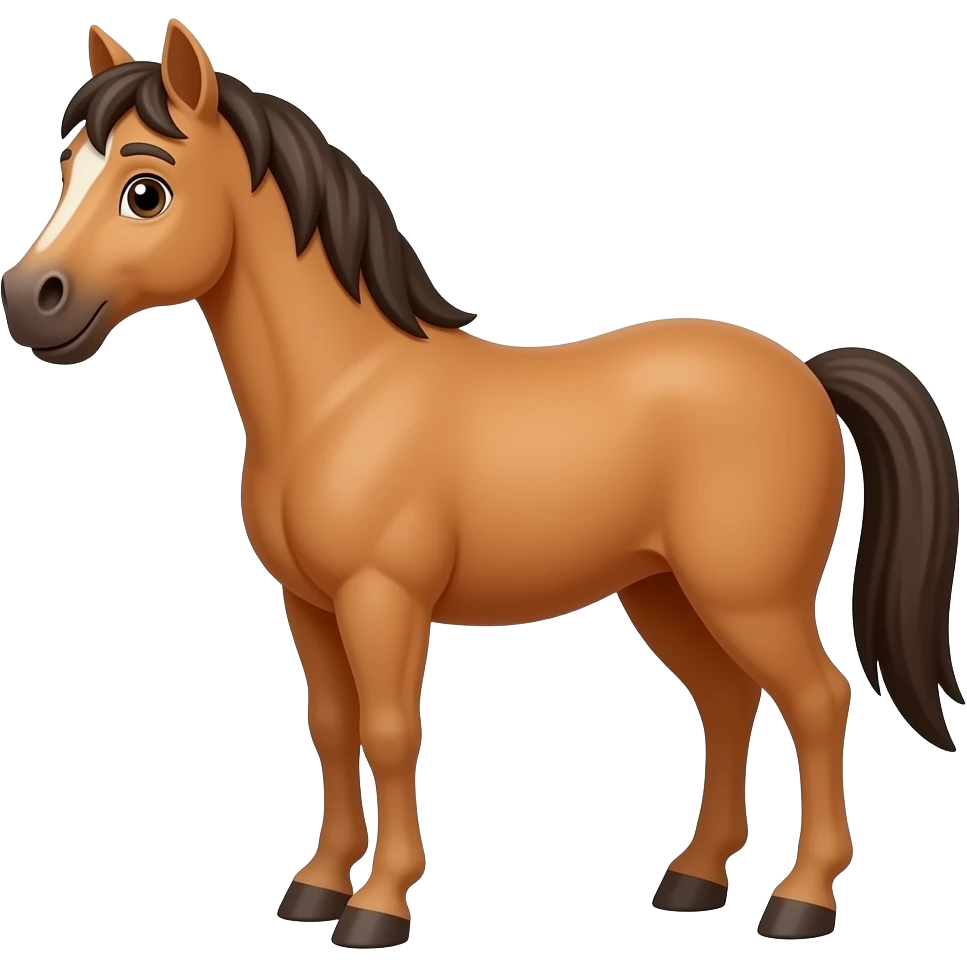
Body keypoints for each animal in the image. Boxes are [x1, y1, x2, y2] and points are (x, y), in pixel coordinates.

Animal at [1, 19, 960, 948]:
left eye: (145, 191)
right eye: (65, 168)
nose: (30, 298)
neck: (347, 393)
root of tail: (805, 373)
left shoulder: (382, 598)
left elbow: (391, 733)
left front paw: (378, 905)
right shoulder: (308, 604)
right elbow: (332, 727)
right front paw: (317, 885)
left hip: (748, 596)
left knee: (818, 701)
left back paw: (802, 900)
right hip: (666, 594)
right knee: (728, 704)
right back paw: (693, 877)